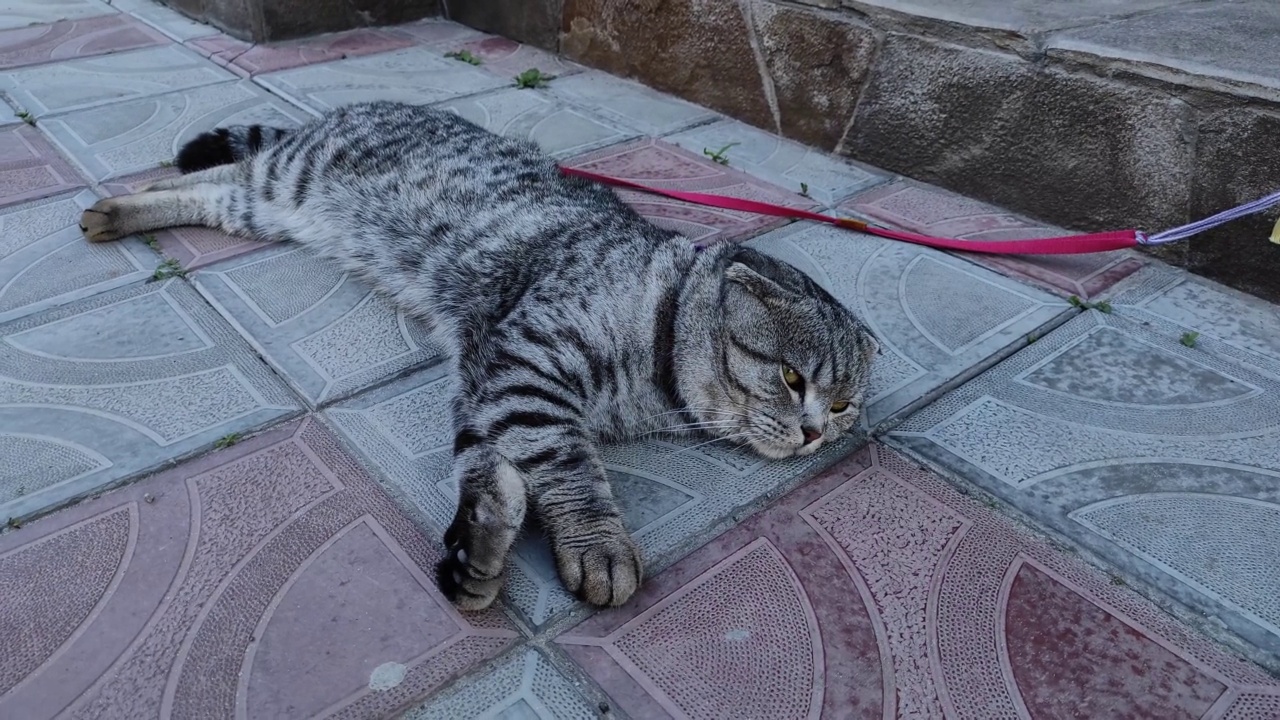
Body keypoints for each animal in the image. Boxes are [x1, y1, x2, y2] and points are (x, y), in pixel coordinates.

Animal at [77, 99, 880, 604]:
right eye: (791, 377)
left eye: (843, 403)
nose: (817, 433)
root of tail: (351, 108)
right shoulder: (526, 363)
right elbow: (568, 467)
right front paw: (597, 544)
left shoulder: (489, 379)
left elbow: (486, 464)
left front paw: (477, 543)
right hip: (284, 176)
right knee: (219, 170)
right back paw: (112, 204)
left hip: (265, 207)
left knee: (210, 189)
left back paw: (121, 209)